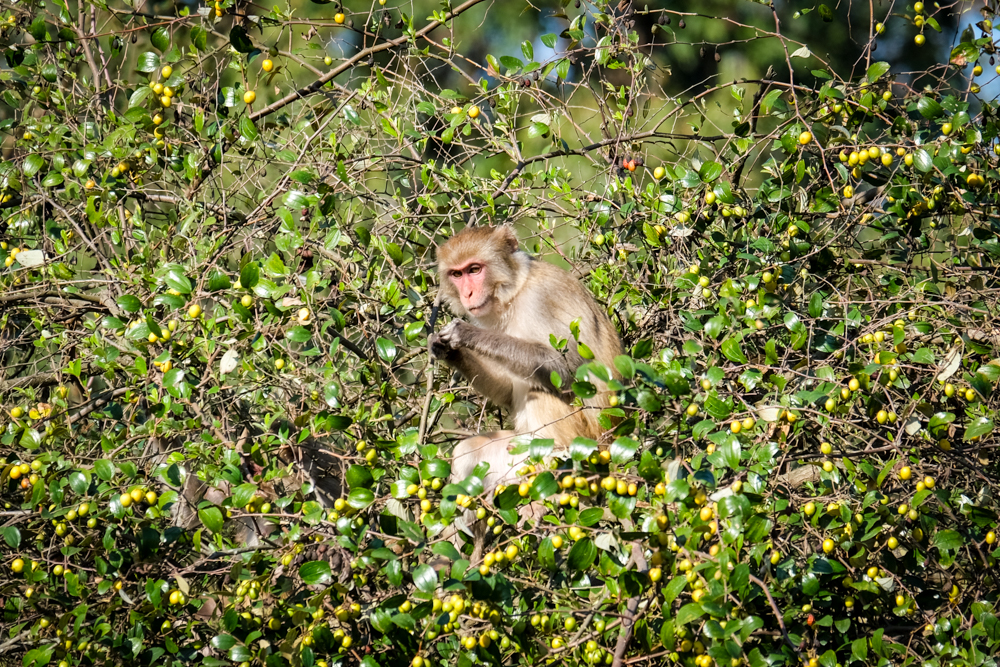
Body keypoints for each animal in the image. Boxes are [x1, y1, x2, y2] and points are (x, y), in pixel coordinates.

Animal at [432, 226, 620, 560]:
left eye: (475, 270)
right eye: (456, 274)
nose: (467, 294)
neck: (514, 292)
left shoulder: (542, 299)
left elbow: (565, 371)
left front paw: (465, 334)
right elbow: (508, 391)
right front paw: (446, 350)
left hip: (588, 451)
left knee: (544, 390)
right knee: (468, 452)